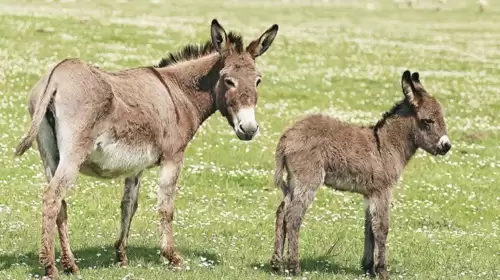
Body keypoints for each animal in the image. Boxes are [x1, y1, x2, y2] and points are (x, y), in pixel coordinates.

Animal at [272, 70, 452, 278]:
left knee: (281, 212)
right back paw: (294, 267)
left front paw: (368, 268)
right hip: (308, 179)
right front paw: (382, 271)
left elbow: (369, 228)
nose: (446, 146)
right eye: (428, 121)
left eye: (443, 118)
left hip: (293, 181)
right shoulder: (383, 190)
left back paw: (276, 264)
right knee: (293, 216)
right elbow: (382, 228)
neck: (385, 144)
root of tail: (286, 137)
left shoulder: (370, 193)